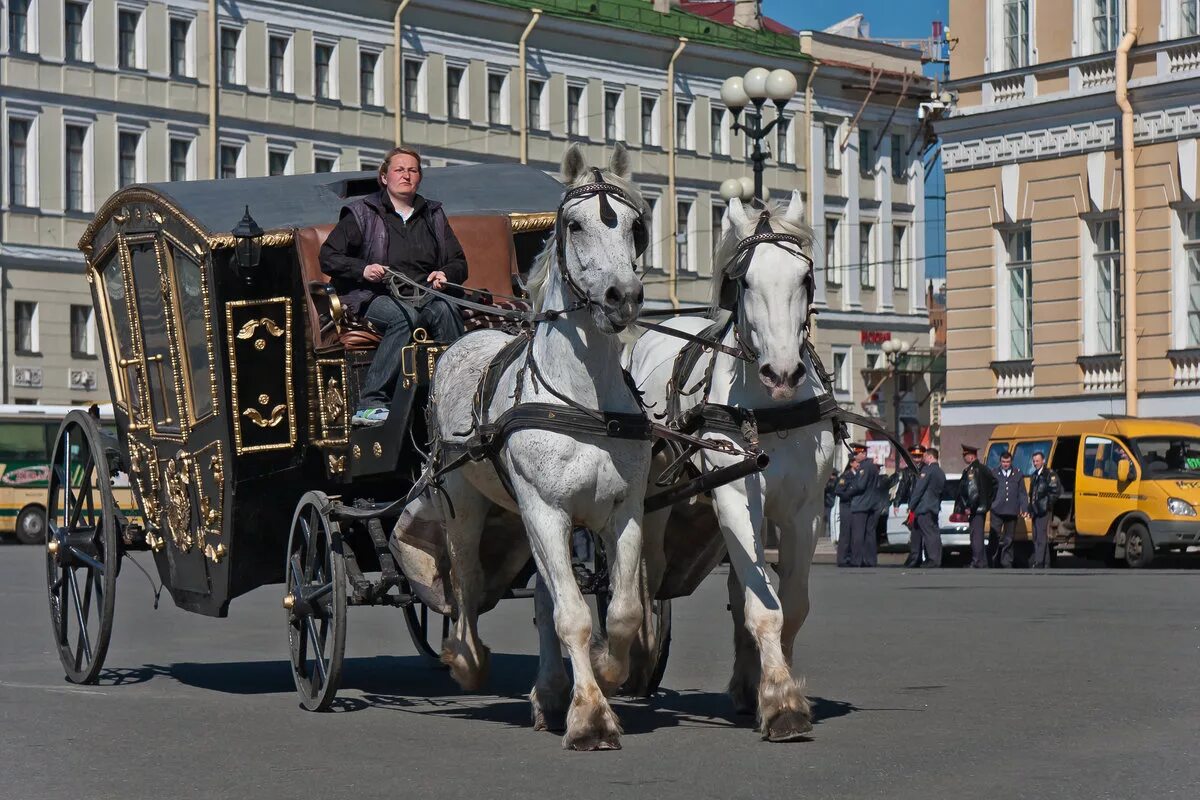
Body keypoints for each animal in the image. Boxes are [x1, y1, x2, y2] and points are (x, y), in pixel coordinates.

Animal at [405, 145, 652, 753]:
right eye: (575, 224)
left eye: (635, 225)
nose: (623, 297)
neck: (584, 402)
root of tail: (465, 335)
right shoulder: (546, 509)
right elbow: (573, 615)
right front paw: (591, 718)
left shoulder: (623, 511)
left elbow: (621, 612)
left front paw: (606, 672)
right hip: (464, 501)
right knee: (466, 578)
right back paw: (466, 659)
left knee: (542, 596)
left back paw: (549, 690)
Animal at [628, 190, 835, 743]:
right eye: (743, 281)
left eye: (805, 278)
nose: (782, 373)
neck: (769, 412)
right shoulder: (736, 496)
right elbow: (765, 608)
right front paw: (782, 701)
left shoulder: (804, 510)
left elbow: (791, 606)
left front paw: (772, 689)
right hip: (657, 508)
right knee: (646, 578)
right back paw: (632, 660)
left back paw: (745, 684)